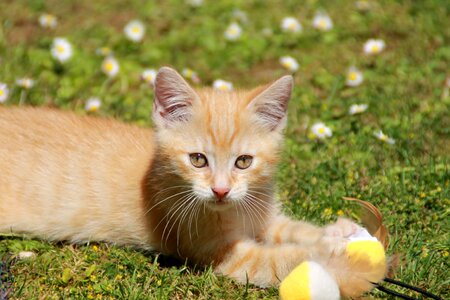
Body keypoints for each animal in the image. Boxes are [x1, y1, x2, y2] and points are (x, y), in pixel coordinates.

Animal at [0, 67, 386, 298]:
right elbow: (283, 259)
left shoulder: (262, 215)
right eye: (198, 160)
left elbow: (294, 230)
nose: (220, 190)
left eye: (244, 162)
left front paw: (338, 232)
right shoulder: (223, 254)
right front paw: (341, 256)